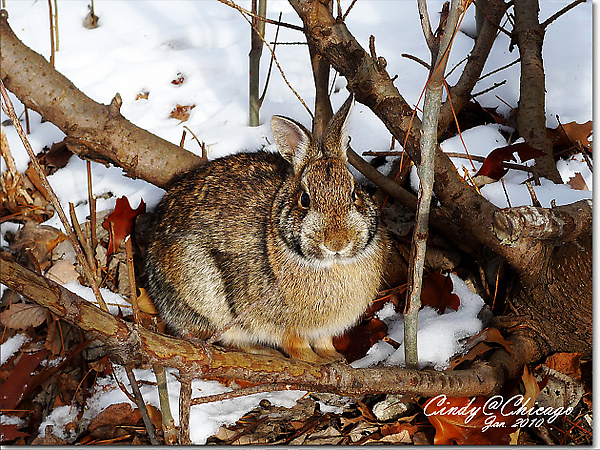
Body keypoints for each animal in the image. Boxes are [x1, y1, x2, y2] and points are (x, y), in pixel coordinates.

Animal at [146, 96, 390, 364]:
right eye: (305, 199)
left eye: (354, 193)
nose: (337, 243)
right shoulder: (281, 324)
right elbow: (295, 344)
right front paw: (315, 361)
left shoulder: (324, 329)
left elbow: (324, 340)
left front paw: (334, 357)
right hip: (207, 301)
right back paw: (265, 352)